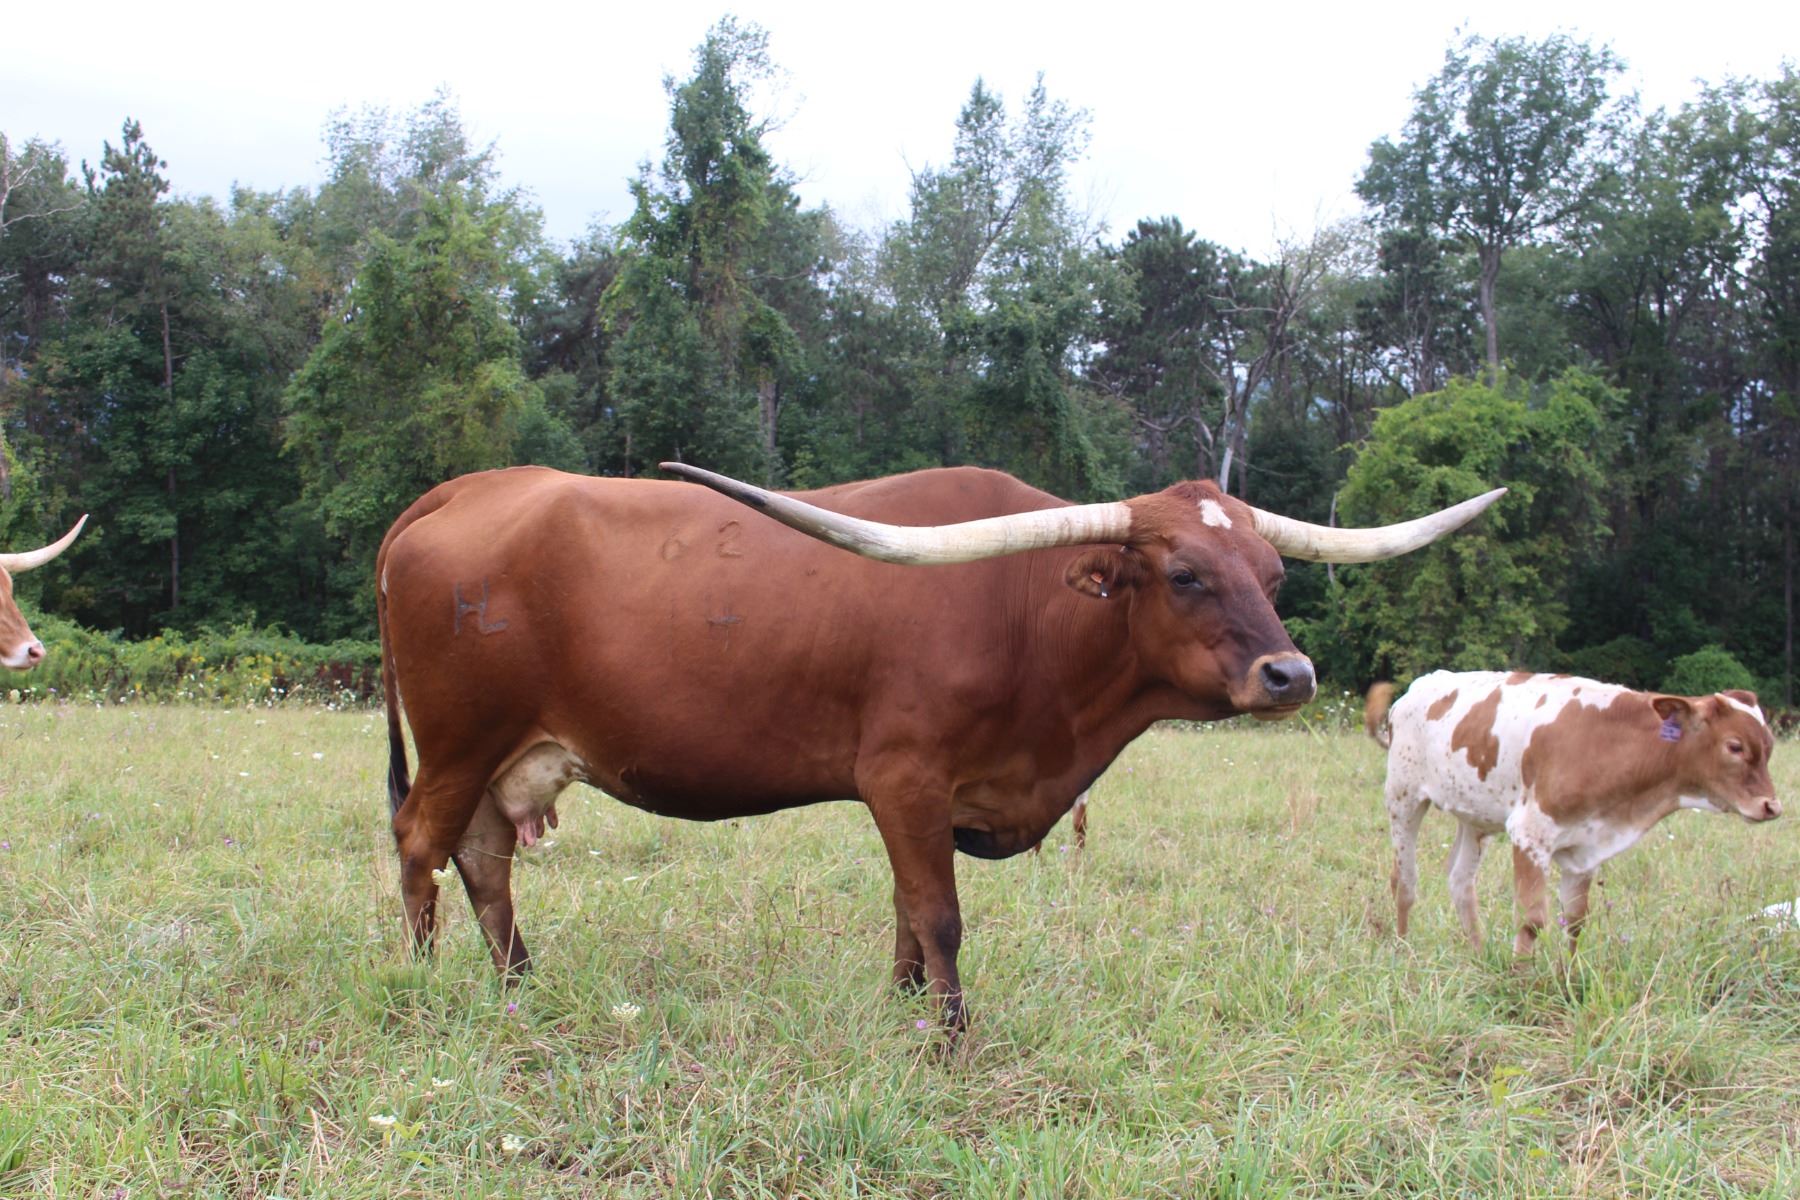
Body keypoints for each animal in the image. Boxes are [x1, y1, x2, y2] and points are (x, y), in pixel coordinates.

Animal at [377, 464, 1501, 1031]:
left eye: (1272, 573)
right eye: (1184, 574)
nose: (1291, 675)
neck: (1025, 615)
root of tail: (462, 489)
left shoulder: (921, 794)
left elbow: (907, 916)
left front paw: (904, 1008)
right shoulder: (905, 778)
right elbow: (942, 916)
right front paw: (953, 1037)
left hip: (511, 754)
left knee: (484, 856)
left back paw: (519, 983)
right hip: (459, 741)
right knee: (422, 845)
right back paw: (426, 980)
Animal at [1367, 671, 1780, 954]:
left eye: (1769, 745)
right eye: (1735, 746)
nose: (1772, 806)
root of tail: (1421, 686)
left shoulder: (1586, 845)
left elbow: (1575, 922)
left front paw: (1566, 978)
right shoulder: (1530, 834)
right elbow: (1532, 920)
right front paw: (1519, 983)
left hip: (1475, 817)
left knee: (1460, 882)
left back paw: (1478, 955)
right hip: (1403, 798)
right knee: (1404, 880)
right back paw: (1403, 951)